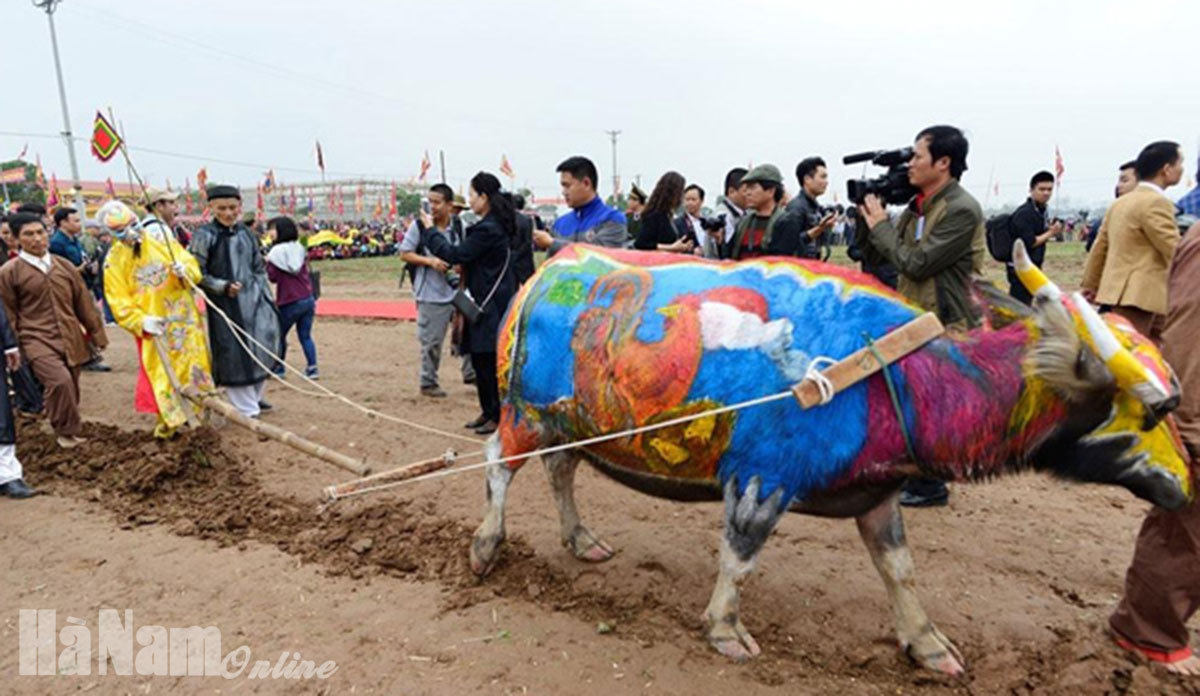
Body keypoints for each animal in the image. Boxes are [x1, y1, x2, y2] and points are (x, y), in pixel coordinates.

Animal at [468, 243, 1190, 672]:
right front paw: (724, 628)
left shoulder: (880, 495)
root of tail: (547, 270)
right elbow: (739, 558)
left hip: (569, 422)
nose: (1186, 489)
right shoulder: (761, 478)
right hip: (523, 414)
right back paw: (485, 545)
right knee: (499, 464)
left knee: (562, 470)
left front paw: (928, 643)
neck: (892, 374)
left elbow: (900, 569)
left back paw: (580, 538)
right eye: (1154, 412)